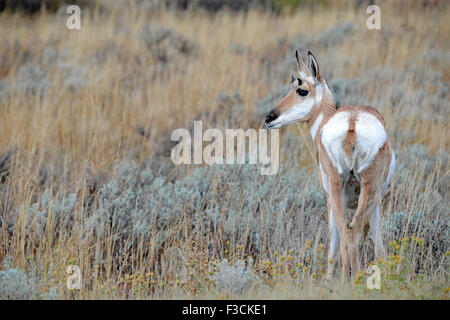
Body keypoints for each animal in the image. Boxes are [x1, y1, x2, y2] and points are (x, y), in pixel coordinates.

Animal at [266, 50, 396, 280]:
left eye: (301, 90)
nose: (269, 117)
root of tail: (352, 122)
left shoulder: (329, 199)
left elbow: (334, 243)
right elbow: (378, 245)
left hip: (340, 193)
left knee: (345, 234)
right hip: (367, 192)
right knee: (352, 232)